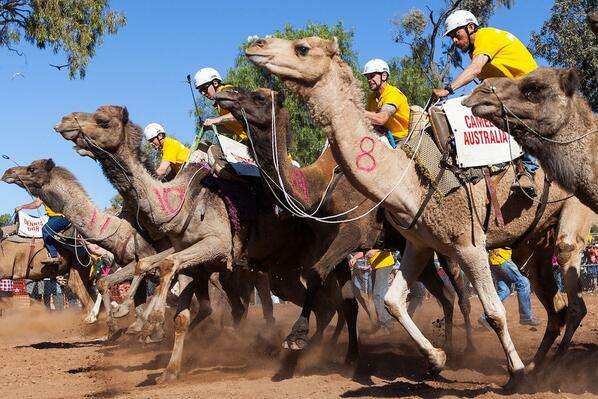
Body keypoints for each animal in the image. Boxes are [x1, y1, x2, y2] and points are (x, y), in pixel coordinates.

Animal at [213, 85, 476, 354]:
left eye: (259, 97)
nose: (226, 94)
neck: (319, 188)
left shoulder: (353, 233)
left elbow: (316, 274)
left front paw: (297, 336)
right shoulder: (330, 243)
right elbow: (347, 299)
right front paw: (351, 354)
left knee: (460, 291)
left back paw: (468, 347)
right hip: (412, 246)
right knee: (445, 294)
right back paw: (447, 345)